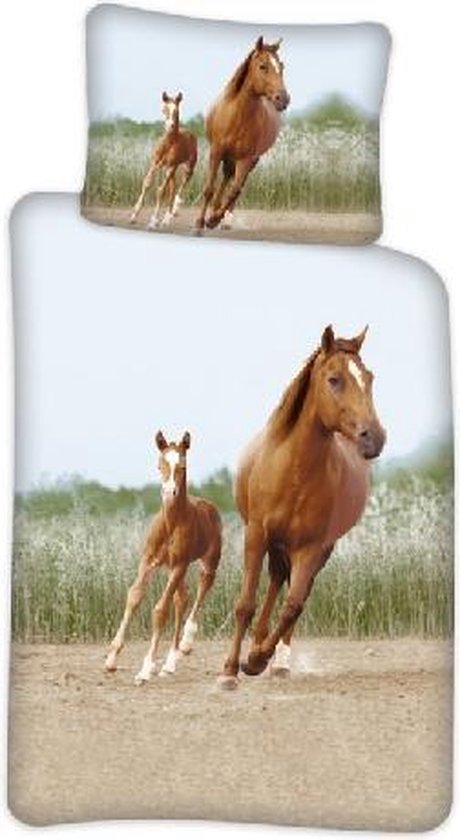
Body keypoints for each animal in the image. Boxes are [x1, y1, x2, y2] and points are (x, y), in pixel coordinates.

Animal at [105, 431, 222, 683]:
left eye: (182, 466)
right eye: (160, 465)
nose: (169, 492)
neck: (171, 524)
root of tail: (209, 506)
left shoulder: (179, 564)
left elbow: (160, 610)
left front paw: (146, 667)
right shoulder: (149, 561)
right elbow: (134, 596)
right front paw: (111, 658)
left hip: (207, 563)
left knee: (200, 590)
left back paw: (184, 645)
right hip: (173, 568)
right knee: (182, 598)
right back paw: (170, 663)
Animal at [130, 92, 198, 230]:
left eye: (176, 110)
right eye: (164, 109)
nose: (170, 126)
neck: (169, 144)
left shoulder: (170, 166)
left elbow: (161, 191)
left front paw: (153, 221)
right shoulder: (155, 163)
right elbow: (147, 183)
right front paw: (134, 215)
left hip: (187, 168)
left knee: (181, 186)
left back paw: (172, 213)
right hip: (172, 169)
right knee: (173, 187)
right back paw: (166, 218)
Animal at [196, 36, 290, 231]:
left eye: (281, 66)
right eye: (263, 66)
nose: (283, 99)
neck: (237, 116)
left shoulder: (246, 159)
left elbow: (234, 191)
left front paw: (214, 219)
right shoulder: (216, 151)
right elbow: (209, 188)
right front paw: (200, 221)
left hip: (250, 160)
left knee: (235, 186)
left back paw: (222, 218)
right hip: (228, 156)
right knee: (225, 179)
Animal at [218, 325, 386, 690]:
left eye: (369, 377)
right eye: (334, 379)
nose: (374, 437)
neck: (293, 470)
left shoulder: (311, 546)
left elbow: (293, 605)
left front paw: (257, 660)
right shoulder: (256, 535)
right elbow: (245, 603)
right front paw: (229, 671)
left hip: (318, 548)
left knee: (294, 592)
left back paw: (275, 660)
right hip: (276, 543)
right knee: (276, 579)